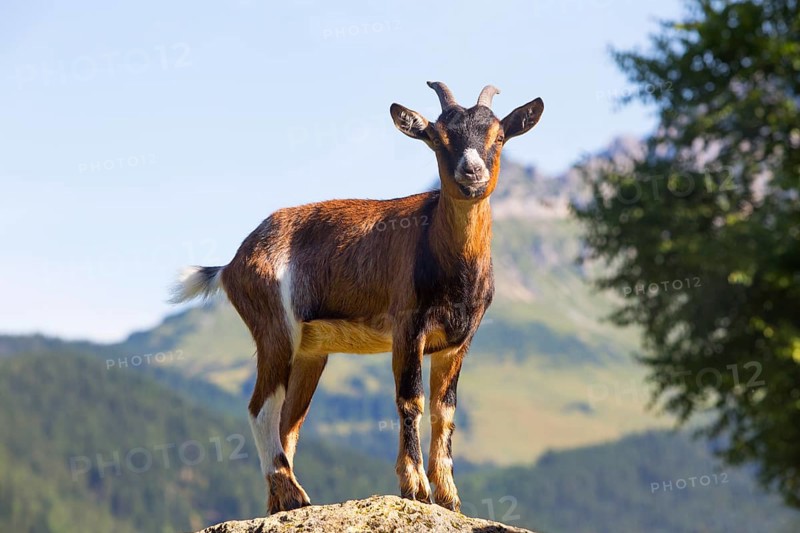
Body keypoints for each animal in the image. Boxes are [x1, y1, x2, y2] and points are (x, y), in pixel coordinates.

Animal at [171, 81, 544, 514]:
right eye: (437, 138)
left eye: (499, 136)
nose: (471, 174)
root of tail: (232, 264)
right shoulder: (407, 329)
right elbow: (410, 400)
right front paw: (415, 487)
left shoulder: (458, 342)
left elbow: (445, 410)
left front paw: (449, 496)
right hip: (275, 329)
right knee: (261, 408)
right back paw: (294, 494)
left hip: (310, 352)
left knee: (289, 420)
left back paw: (282, 502)